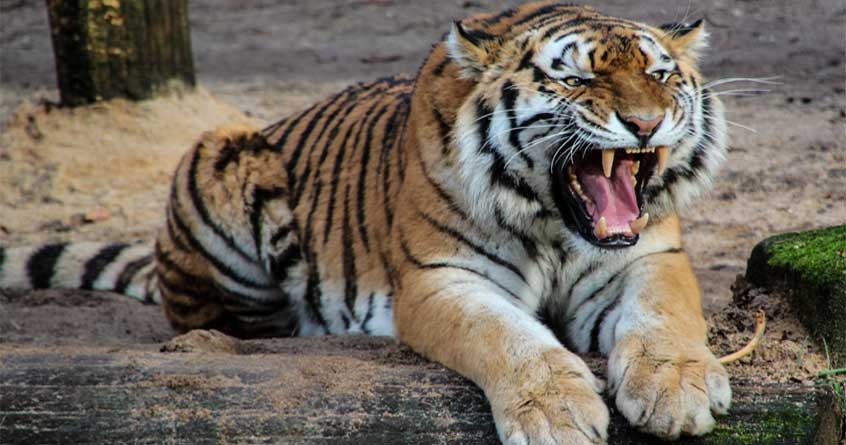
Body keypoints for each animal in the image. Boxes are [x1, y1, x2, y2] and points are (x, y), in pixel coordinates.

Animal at [0, 2, 732, 443]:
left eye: (661, 76)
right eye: (575, 81)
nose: (645, 124)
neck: (556, 223)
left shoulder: (648, 257)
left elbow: (666, 315)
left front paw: (677, 387)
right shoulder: (441, 279)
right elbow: (508, 337)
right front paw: (557, 412)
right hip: (221, 150)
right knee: (217, 320)